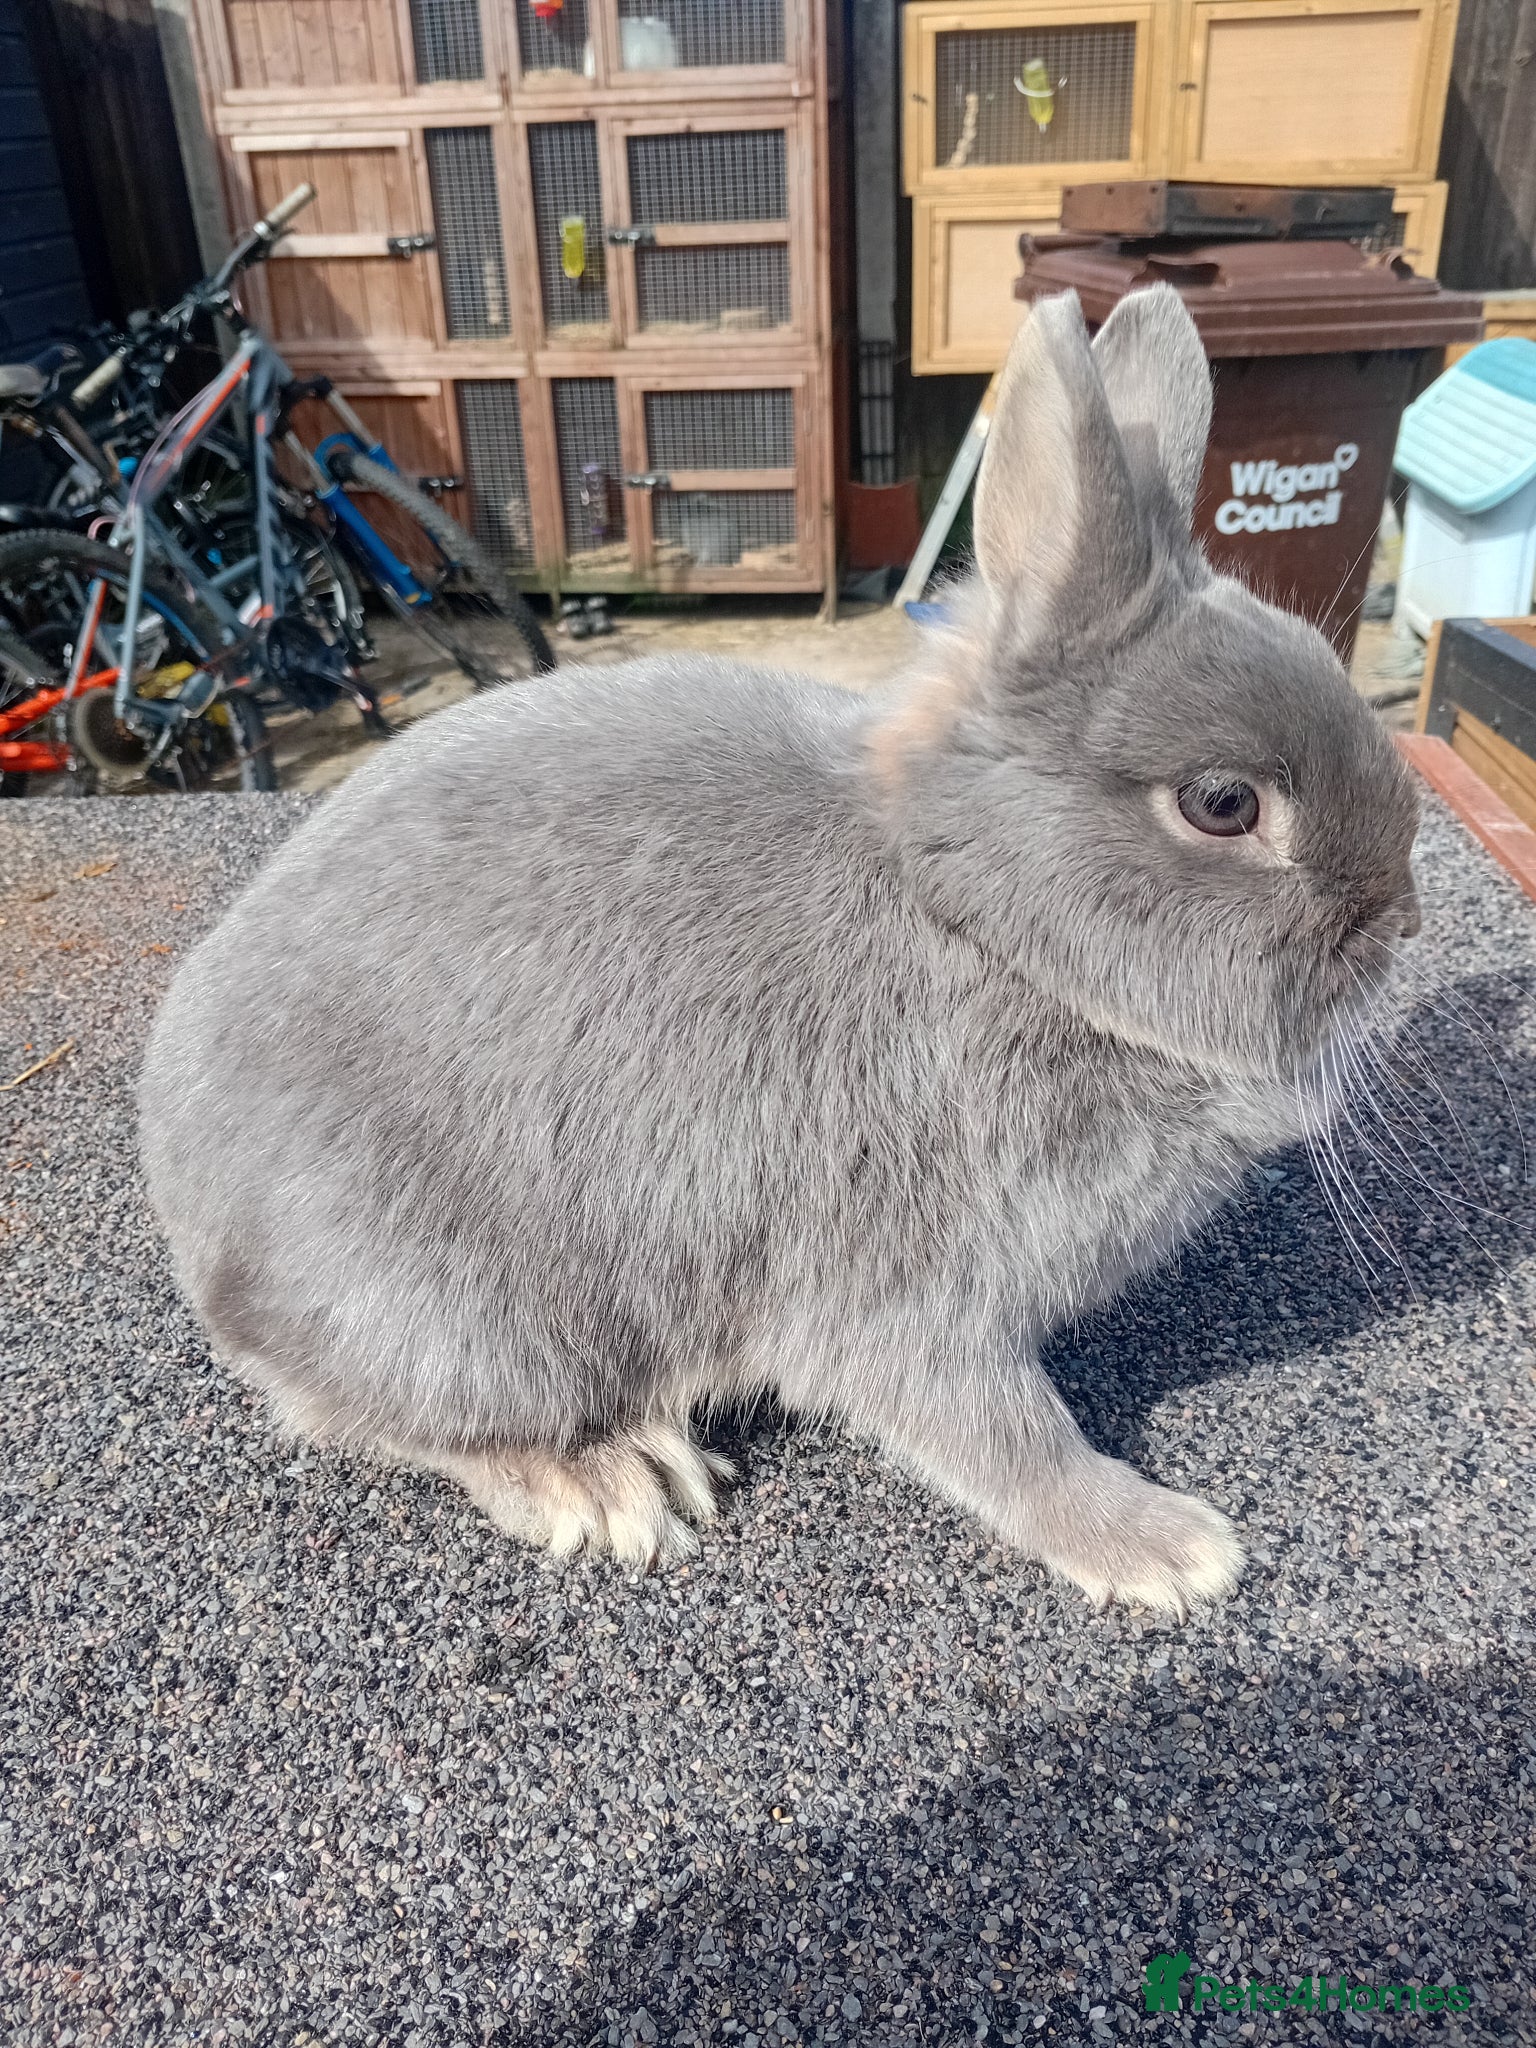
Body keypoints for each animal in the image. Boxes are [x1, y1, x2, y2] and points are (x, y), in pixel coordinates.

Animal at [139, 285, 1421, 1618]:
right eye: (1224, 804)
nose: (1403, 919)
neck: (978, 921)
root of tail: (201, 1241)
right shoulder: (906, 1287)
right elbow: (1009, 1435)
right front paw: (1170, 1547)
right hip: (461, 1315)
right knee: (400, 1419)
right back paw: (609, 1478)